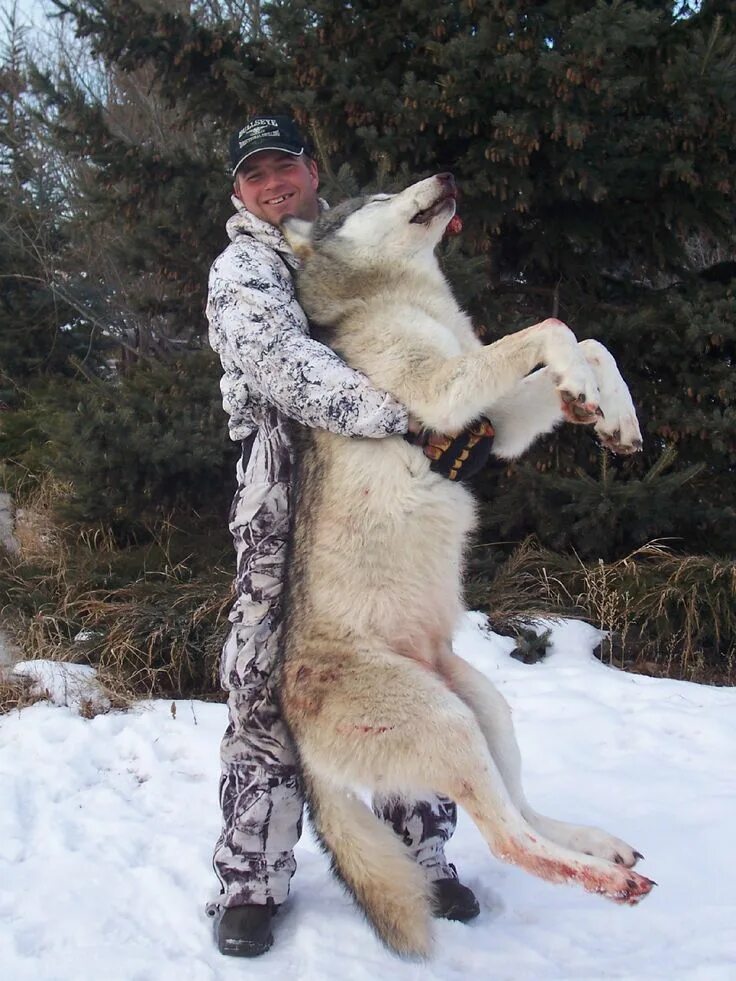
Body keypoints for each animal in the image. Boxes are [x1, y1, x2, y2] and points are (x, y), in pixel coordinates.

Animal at [278, 174, 656, 956]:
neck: (413, 301)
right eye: (376, 194)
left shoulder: (492, 428)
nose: (448, 176)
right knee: (509, 840)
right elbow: (551, 325)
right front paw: (583, 386)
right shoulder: (444, 392)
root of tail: (298, 746)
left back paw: (597, 844)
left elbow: (591, 340)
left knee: (522, 810)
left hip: (486, 710)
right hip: (447, 724)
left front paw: (607, 411)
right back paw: (608, 881)